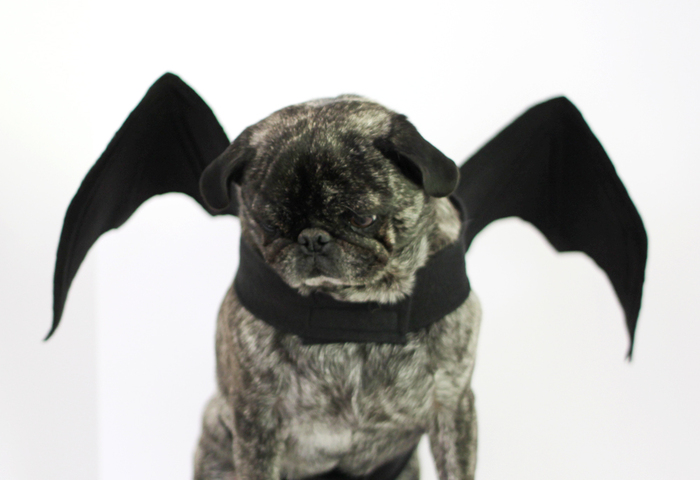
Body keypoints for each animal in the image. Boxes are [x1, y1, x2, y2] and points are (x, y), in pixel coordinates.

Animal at [191, 96, 478, 480]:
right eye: (270, 224)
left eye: (362, 218)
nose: (312, 238)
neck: (350, 305)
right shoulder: (256, 420)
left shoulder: (452, 405)